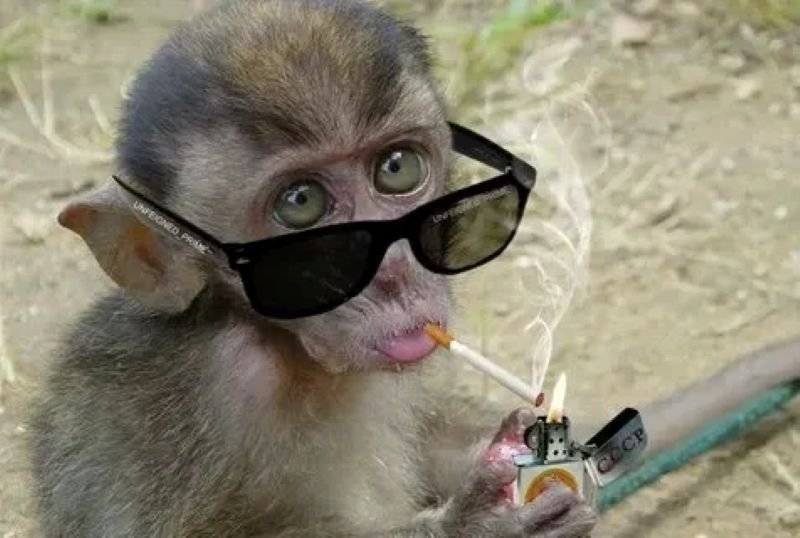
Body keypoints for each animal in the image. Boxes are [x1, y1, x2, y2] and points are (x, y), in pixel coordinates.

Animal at [28, 0, 800, 537]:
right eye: (301, 205)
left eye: (397, 168)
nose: (397, 272)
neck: (286, 351)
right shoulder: (199, 397)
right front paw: (479, 525)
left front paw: (528, 450)